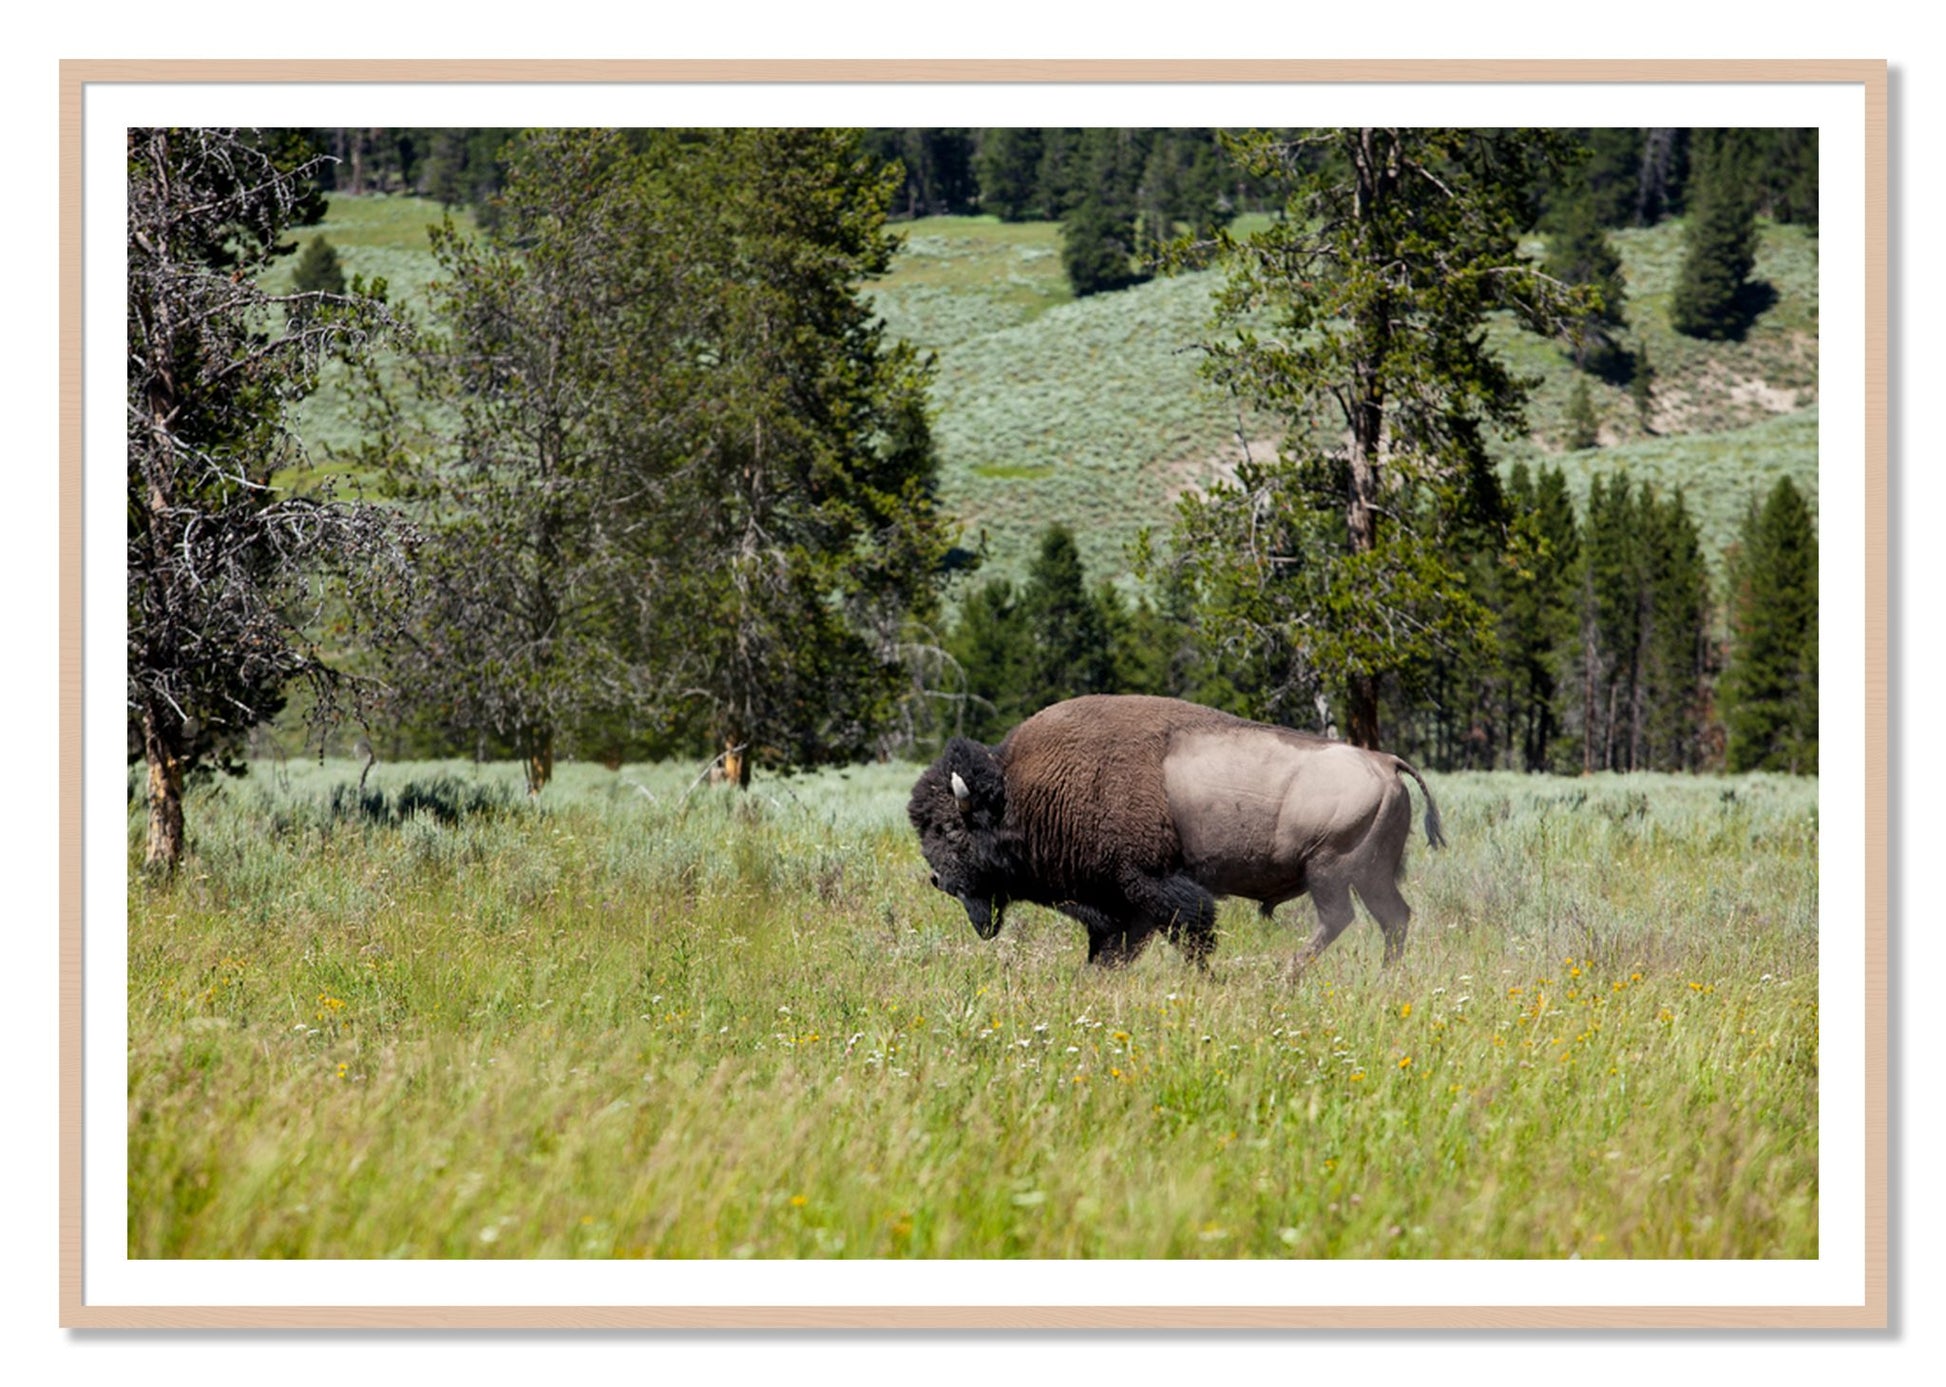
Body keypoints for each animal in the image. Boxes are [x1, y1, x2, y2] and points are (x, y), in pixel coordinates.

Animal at [908, 694, 1445, 971]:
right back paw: (1383, 977)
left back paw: (1286, 975)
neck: (1023, 791)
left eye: (952, 830)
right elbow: (1113, 949)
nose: (938, 880)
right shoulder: (1120, 905)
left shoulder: (1150, 885)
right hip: (1370, 876)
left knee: (1341, 920)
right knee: (1393, 919)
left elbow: (1190, 933)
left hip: (1330, 871)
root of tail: (1385, 762)